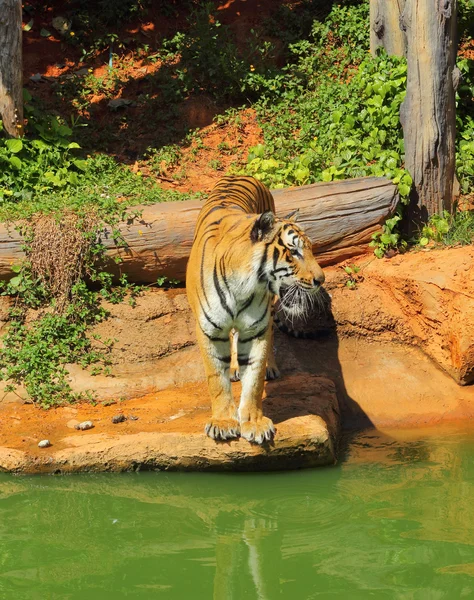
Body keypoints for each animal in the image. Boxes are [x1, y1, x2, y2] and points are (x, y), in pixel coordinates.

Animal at [187, 176, 324, 442]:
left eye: (311, 248)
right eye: (294, 252)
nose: (320, 280)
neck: (242, 287)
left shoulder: (256, 330)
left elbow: (254, 379)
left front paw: (254, 423)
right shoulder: (209, 330)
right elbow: (216, 380)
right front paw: (222, 422)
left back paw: (270, 368)